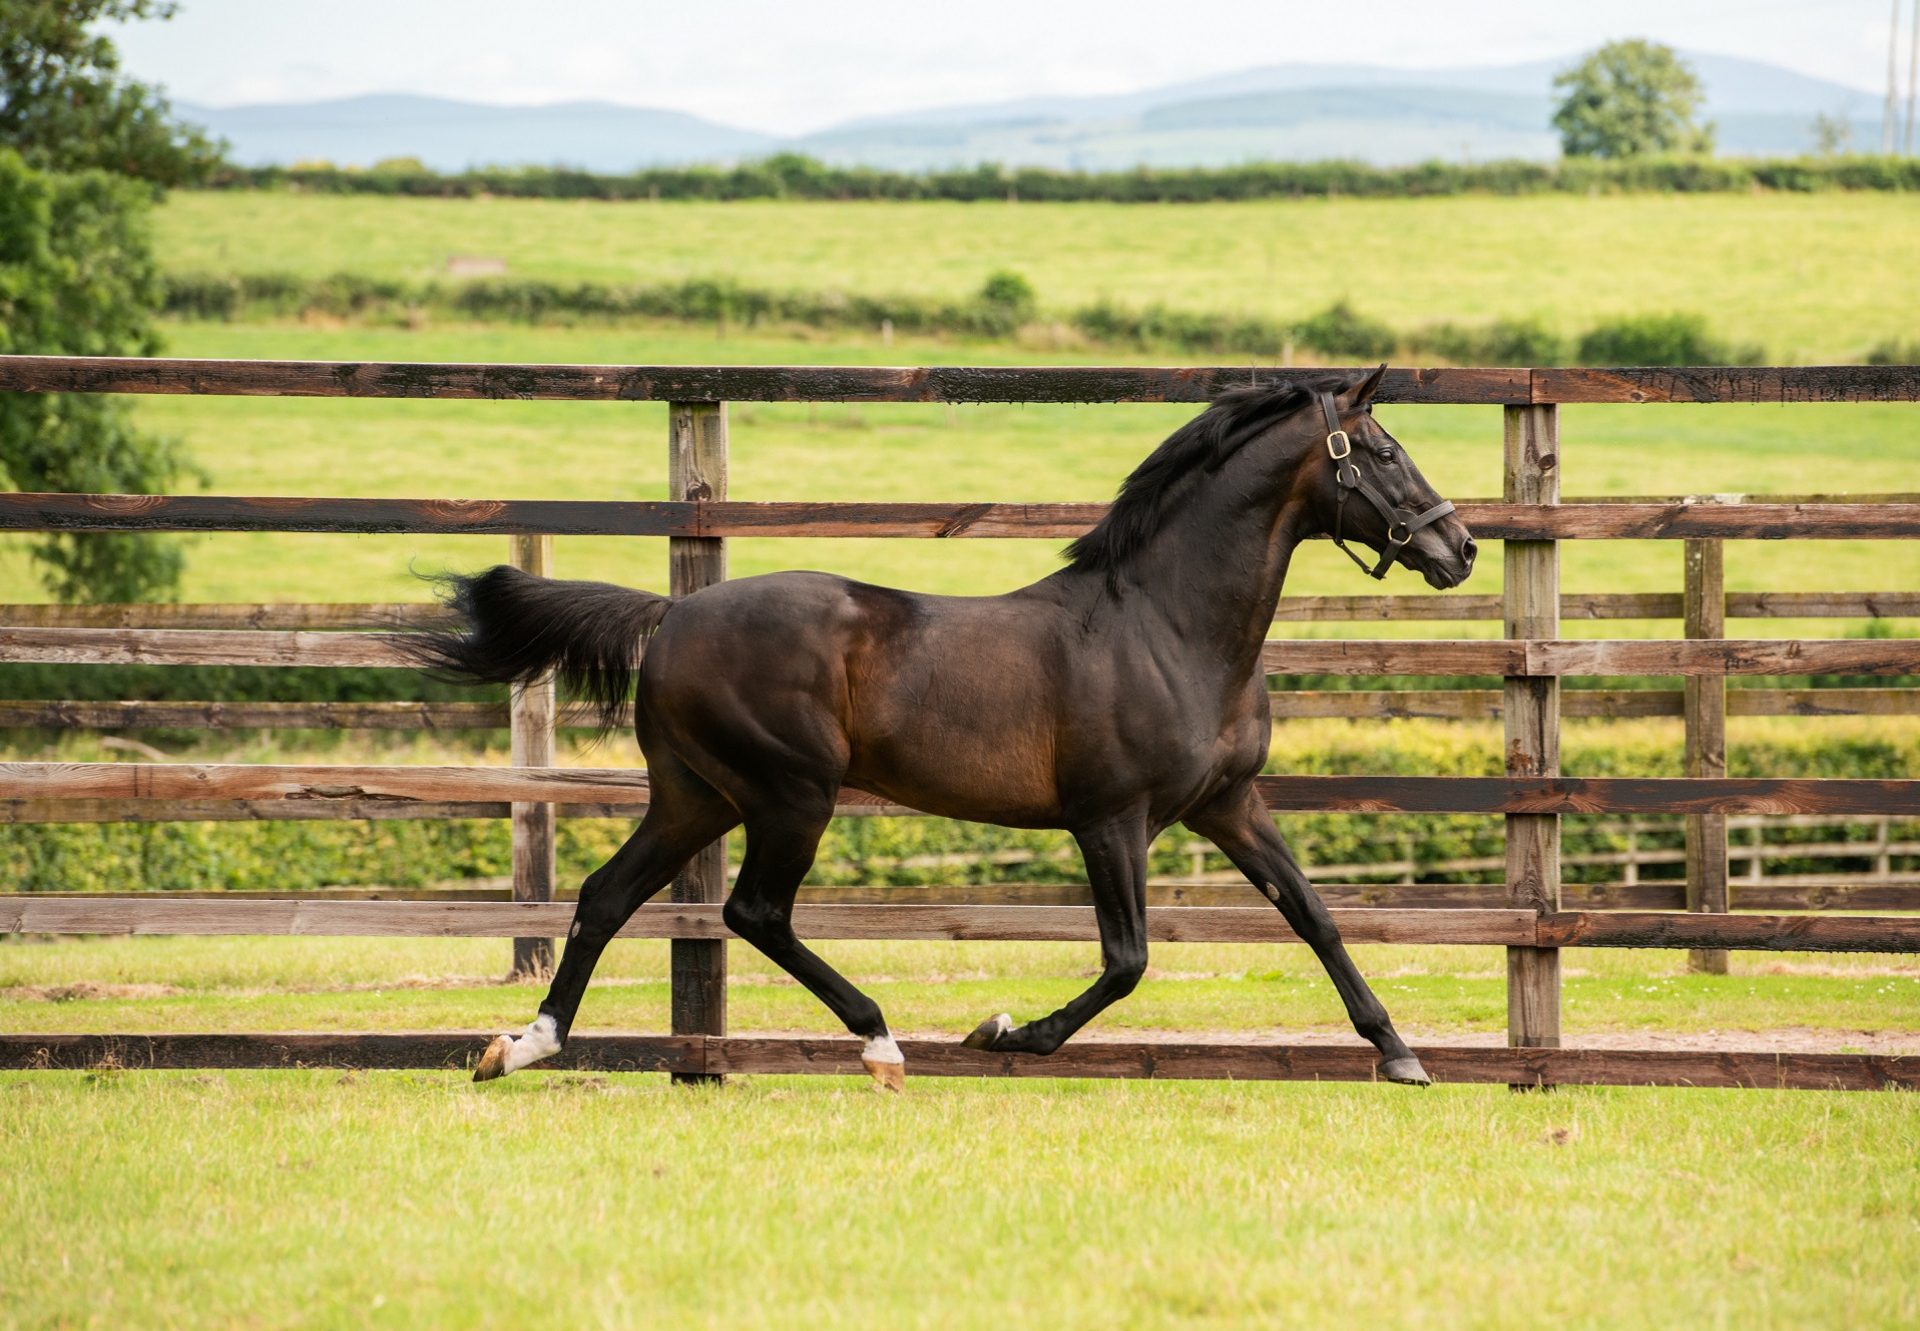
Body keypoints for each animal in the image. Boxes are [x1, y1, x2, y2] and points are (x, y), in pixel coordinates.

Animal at [412, 366, 1474, 1090]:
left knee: (606, 895)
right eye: (1383, 453)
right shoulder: (1111, 819)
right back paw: (882, 1042)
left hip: (695, 796)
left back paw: (522, 1044)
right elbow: (1127, 960)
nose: (1457, 546)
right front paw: (1004, 1032)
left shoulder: (1229, 805)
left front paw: (1401, 1053)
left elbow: (1315, 915)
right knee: (754, 911)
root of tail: (670, 615)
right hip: (789, 793)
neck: (1168, 626)